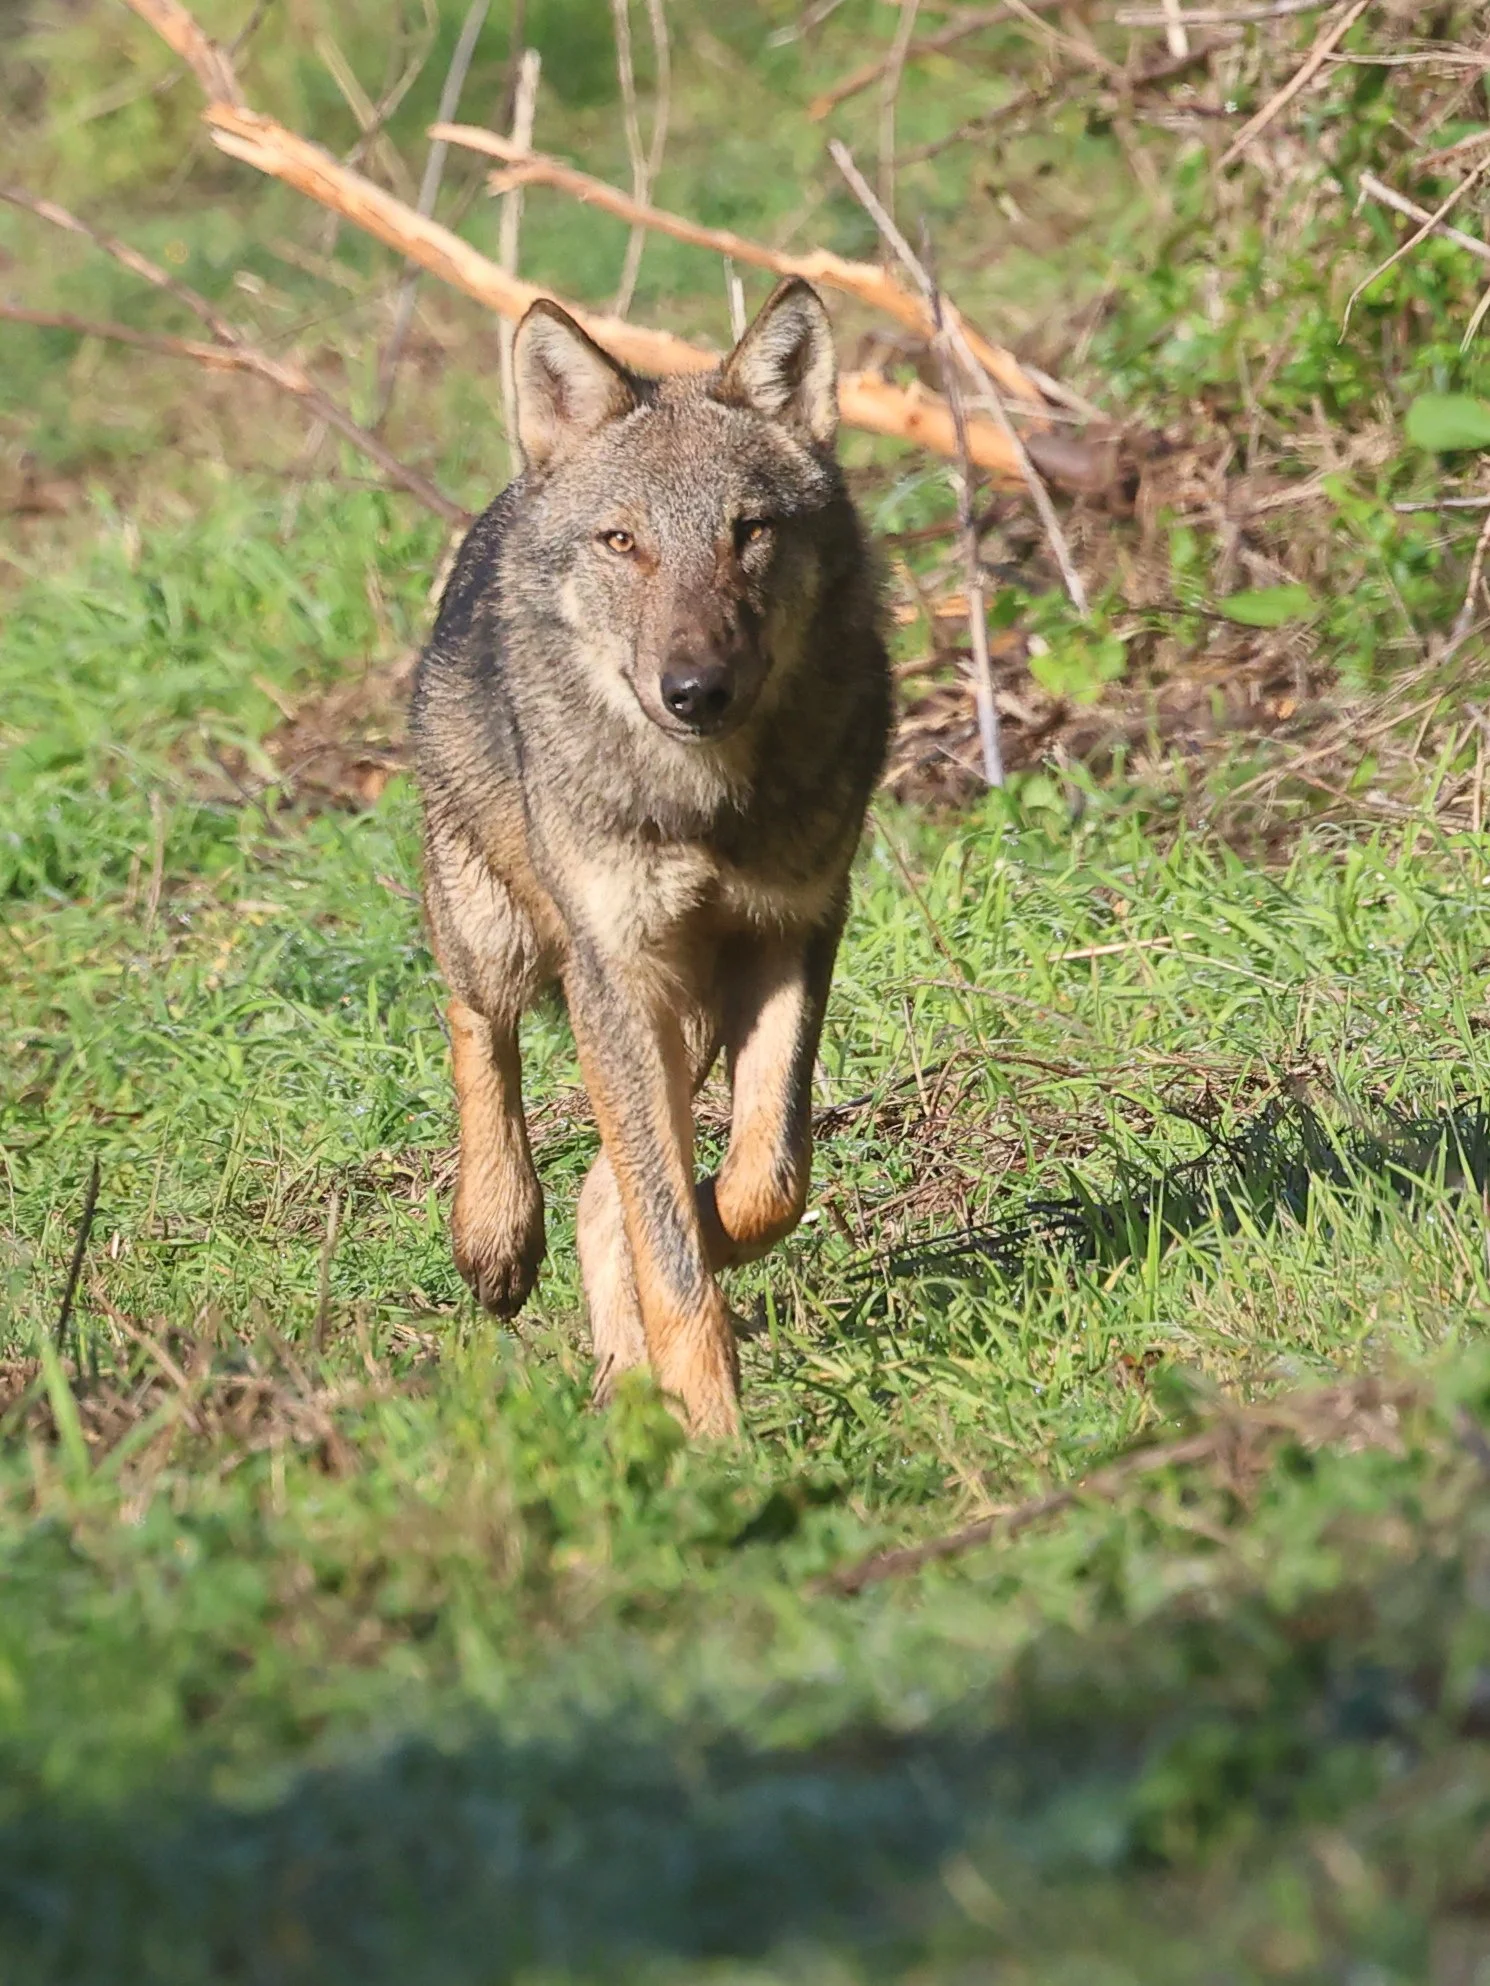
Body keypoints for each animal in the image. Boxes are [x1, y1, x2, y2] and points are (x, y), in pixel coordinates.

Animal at [411, 277, 891, 1437]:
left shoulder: (794, 933)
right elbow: (667, 1235)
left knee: (605, 1182)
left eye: (748, 531)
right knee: (476, 1029)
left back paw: (625, 1376)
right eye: (622, 541)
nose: (694, 692)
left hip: (693, 1010)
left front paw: (705, 1269)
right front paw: (716, 1427)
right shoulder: (617, 970)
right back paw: (494, 1238)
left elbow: (764, 1181)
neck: (704, 806)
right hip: (504, 935)